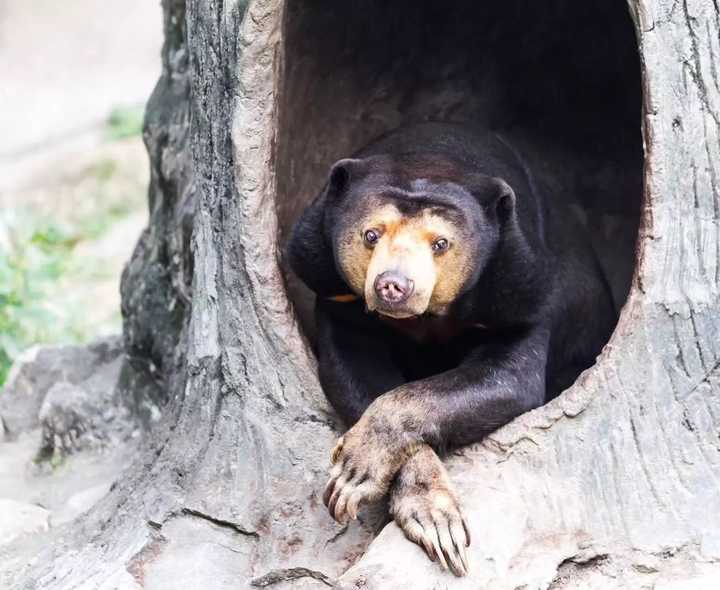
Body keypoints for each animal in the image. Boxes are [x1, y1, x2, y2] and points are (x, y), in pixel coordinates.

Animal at [286, 121, 612, 580]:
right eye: (370, 235)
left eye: (440, 243)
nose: (393, 286)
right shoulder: (331, 285)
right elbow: (353, 370)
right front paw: (427, 516)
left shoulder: (519, 289)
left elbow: (508, 376)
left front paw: (355, 473)